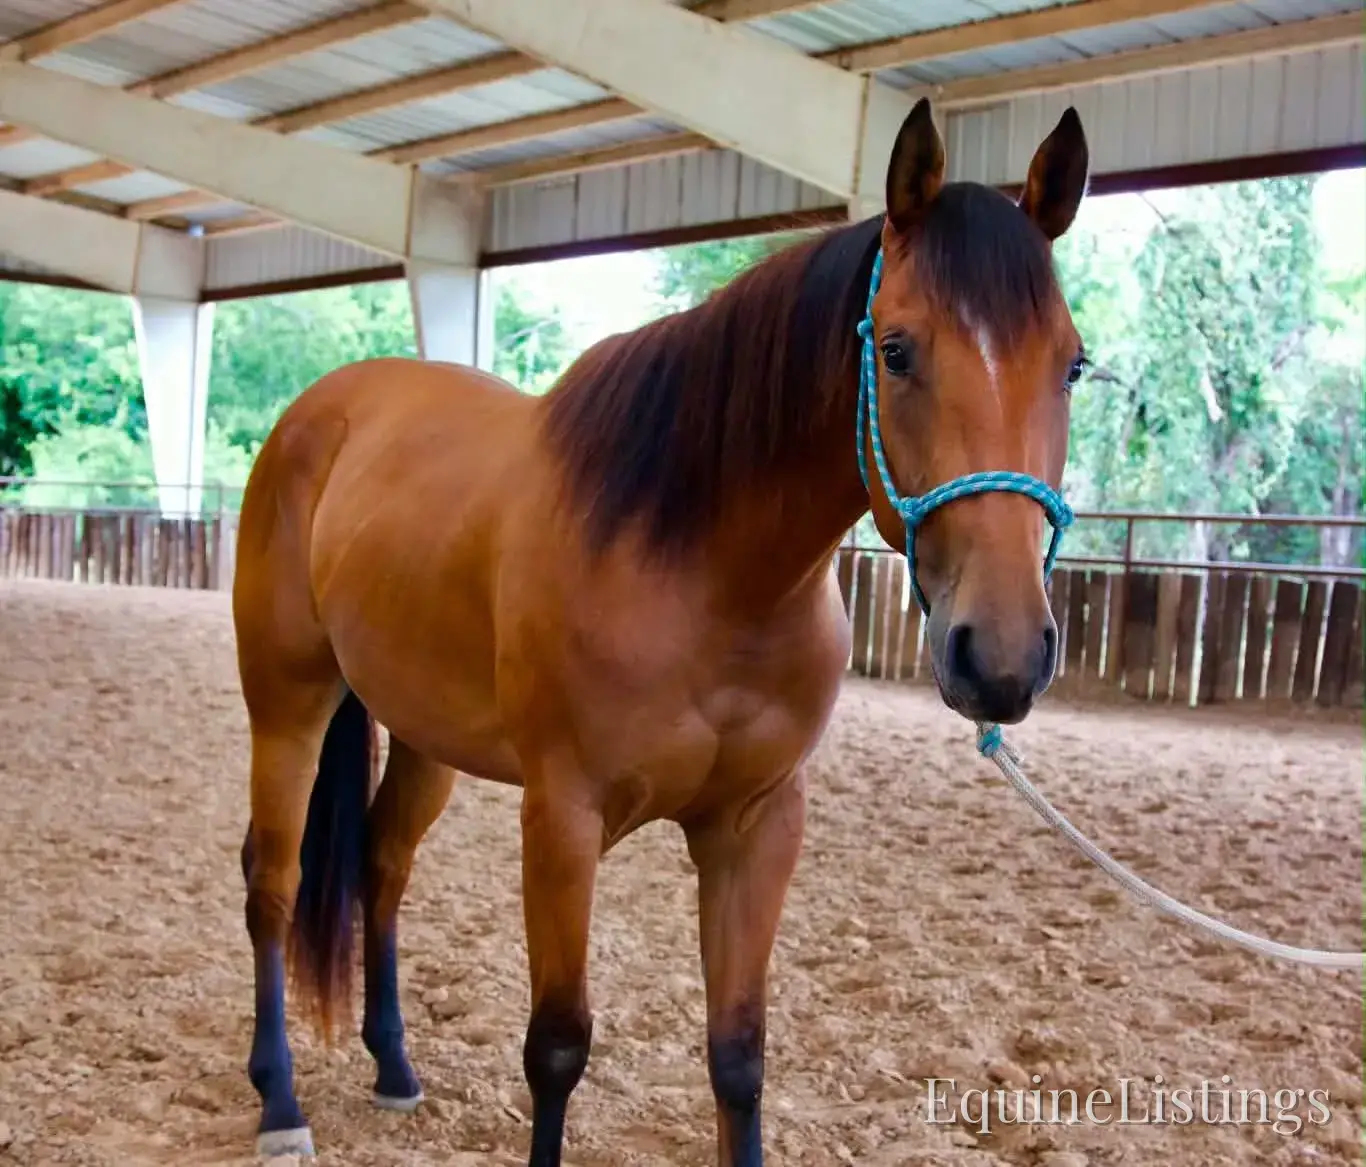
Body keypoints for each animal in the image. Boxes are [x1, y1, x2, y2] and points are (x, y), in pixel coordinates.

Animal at [232, 96, 1091, 1165]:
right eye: (896, 349)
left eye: (1074, 364)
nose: (1003, 653)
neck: (708, 576)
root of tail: (320, 411)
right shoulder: (563, 819)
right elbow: (557, 1047)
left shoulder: (757, 827)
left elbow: (739, 1054)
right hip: (287, 702)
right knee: (272, 875)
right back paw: (278, 1100)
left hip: (425, 735)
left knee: (382, 865)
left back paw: (393, 1066)